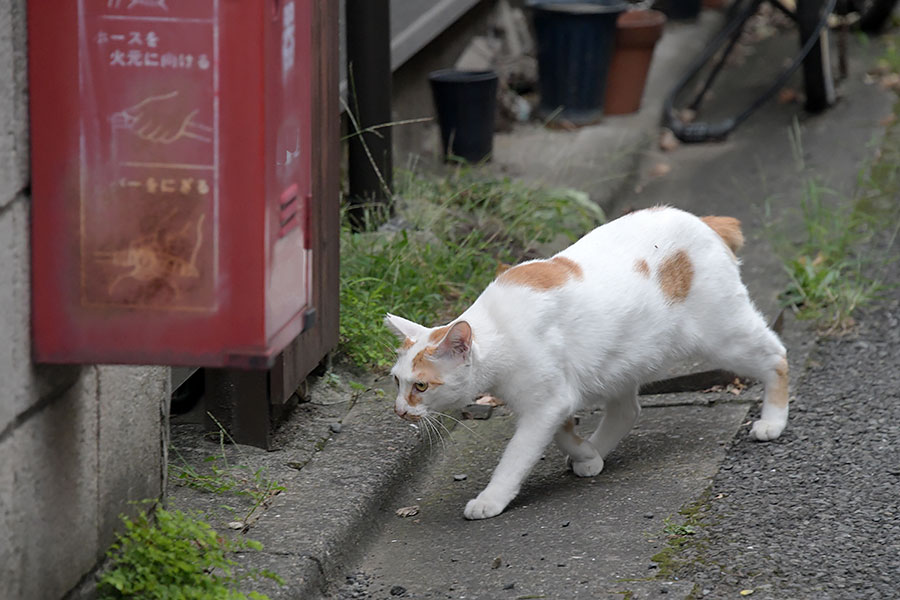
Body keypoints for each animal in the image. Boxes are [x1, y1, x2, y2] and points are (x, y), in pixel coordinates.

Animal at [384, 206, 788, 520]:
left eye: (421, 386)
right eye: (396, 382)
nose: (400, 411)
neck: (498, 329)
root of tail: (705, 221)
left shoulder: (548, 402)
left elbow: (516, 456)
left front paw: (491, 499)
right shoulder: (554, 398)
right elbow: (562, 434)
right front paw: (587, 454)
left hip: (725, 336)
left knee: (777, 356)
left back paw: (772, 421)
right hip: (620, 362)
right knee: (628, 410)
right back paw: (595, 453)